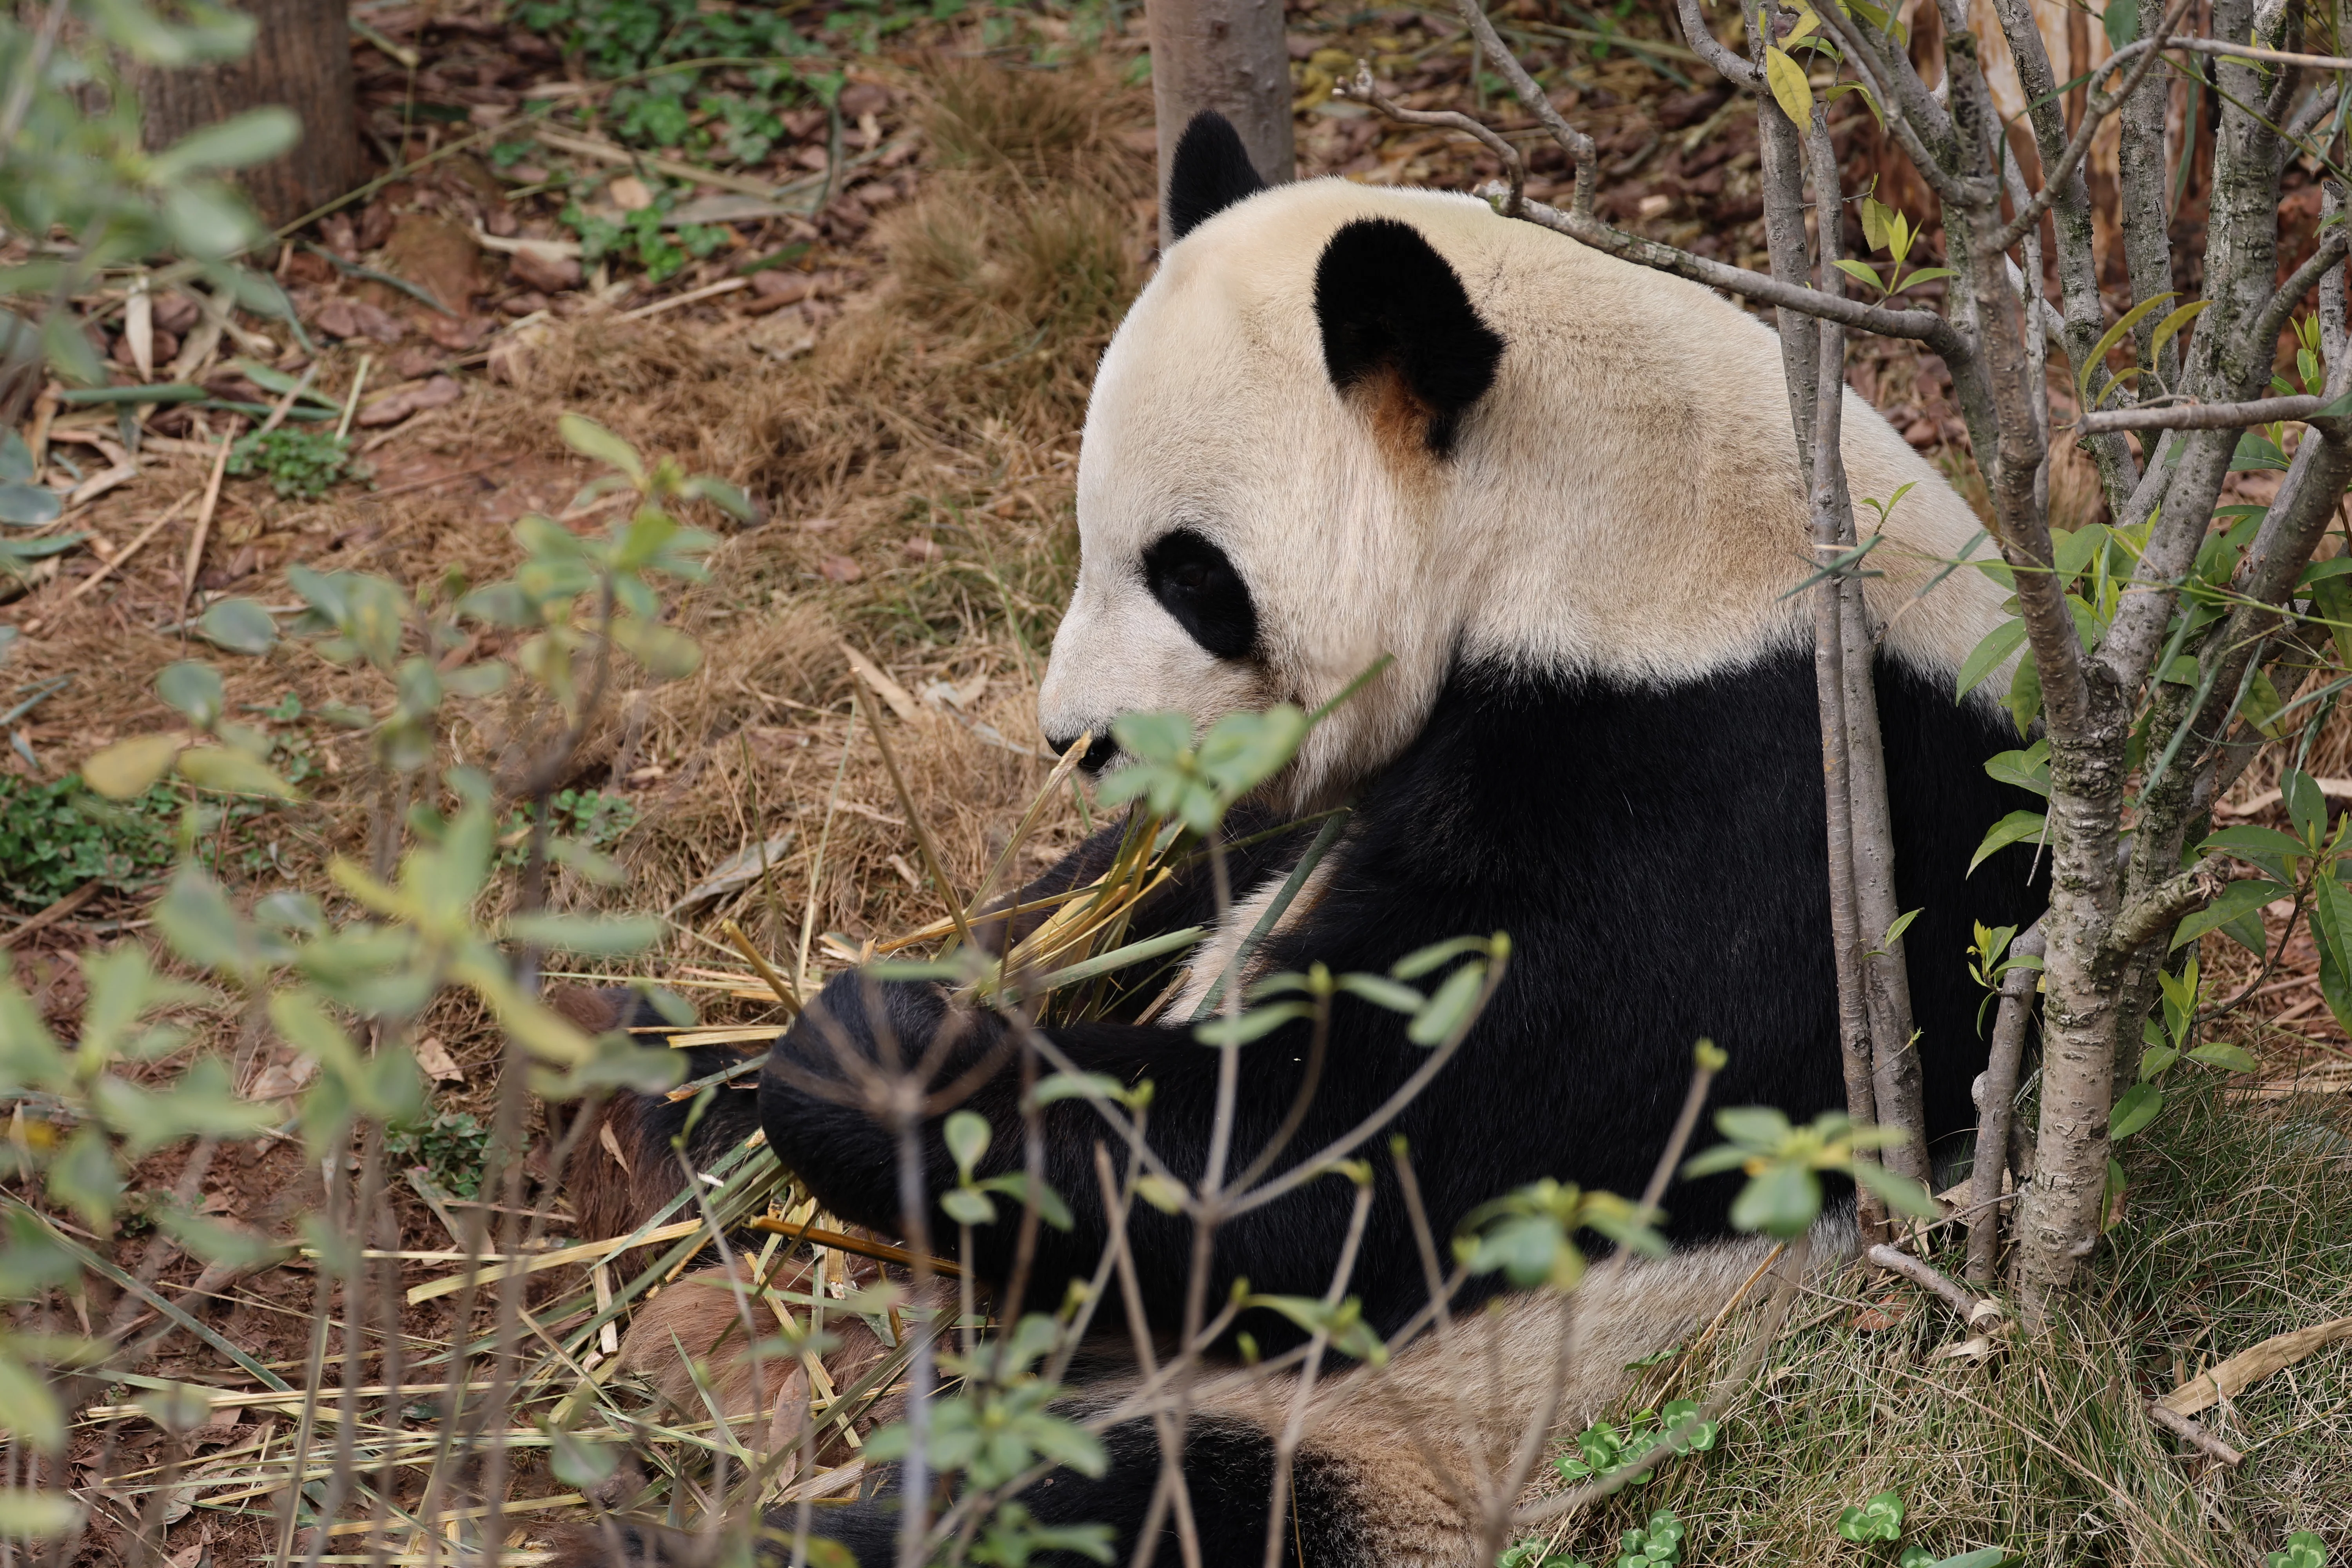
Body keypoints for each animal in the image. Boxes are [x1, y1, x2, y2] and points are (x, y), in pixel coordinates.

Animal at [564, 112, 2044, 1568]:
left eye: (1191, 575)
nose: (1078, 739)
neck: (1615, 523)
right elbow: (1157, 894)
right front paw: (818, 1033)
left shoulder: (1741, 794)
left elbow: (1363, 1145)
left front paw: (874, 1061)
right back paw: (635, 1083)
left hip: (1408, 1431)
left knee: (1143, 1510)